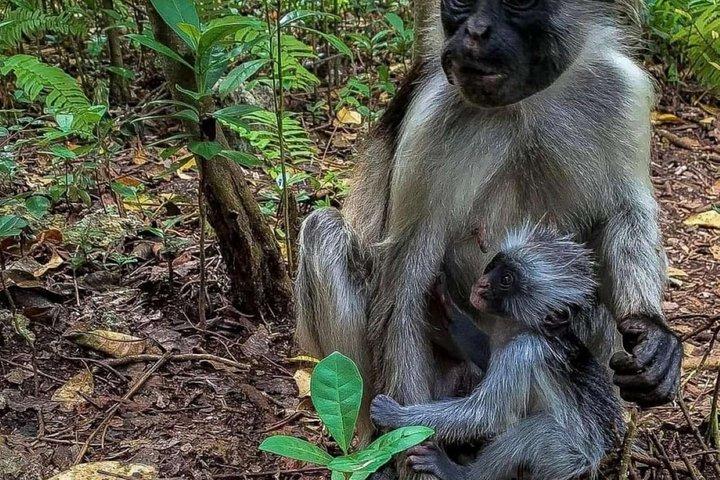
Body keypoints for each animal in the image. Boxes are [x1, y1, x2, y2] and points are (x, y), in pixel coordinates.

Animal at [370, 225, 625, 480]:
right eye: (496, 264)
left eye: (506, 279)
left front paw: (396, 415)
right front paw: (451, 312)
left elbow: (485, 414)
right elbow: (487, 354)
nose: (482, 283)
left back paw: (459, 473)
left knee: (535, 431)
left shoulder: (522, 352)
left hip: (573, 462)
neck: (528, 328)